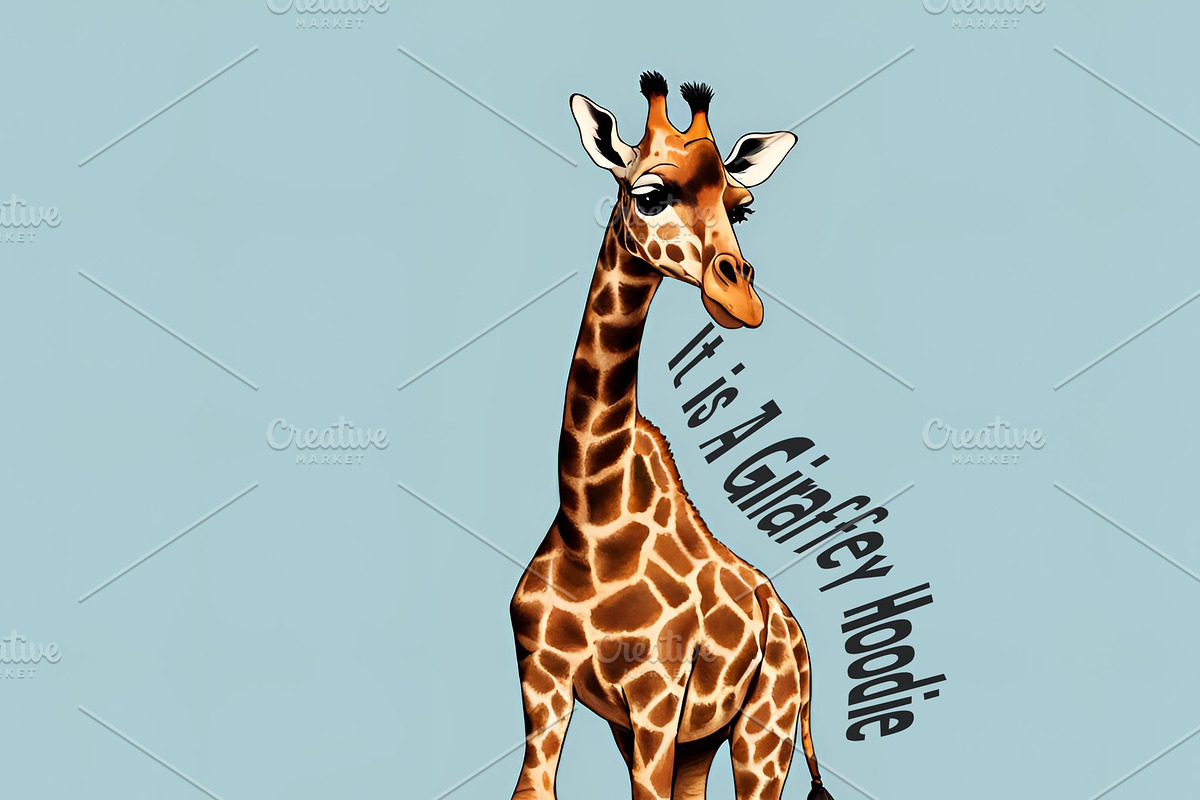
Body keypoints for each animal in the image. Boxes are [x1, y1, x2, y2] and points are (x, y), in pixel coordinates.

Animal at [509, 72, 833, 800]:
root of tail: (799, 637)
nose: (740, 301)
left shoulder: (656, 698)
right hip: (700, 741)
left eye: (742, 208)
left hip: (764, 729)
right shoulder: (544, 684)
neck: (589, 522)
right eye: (649, 195)